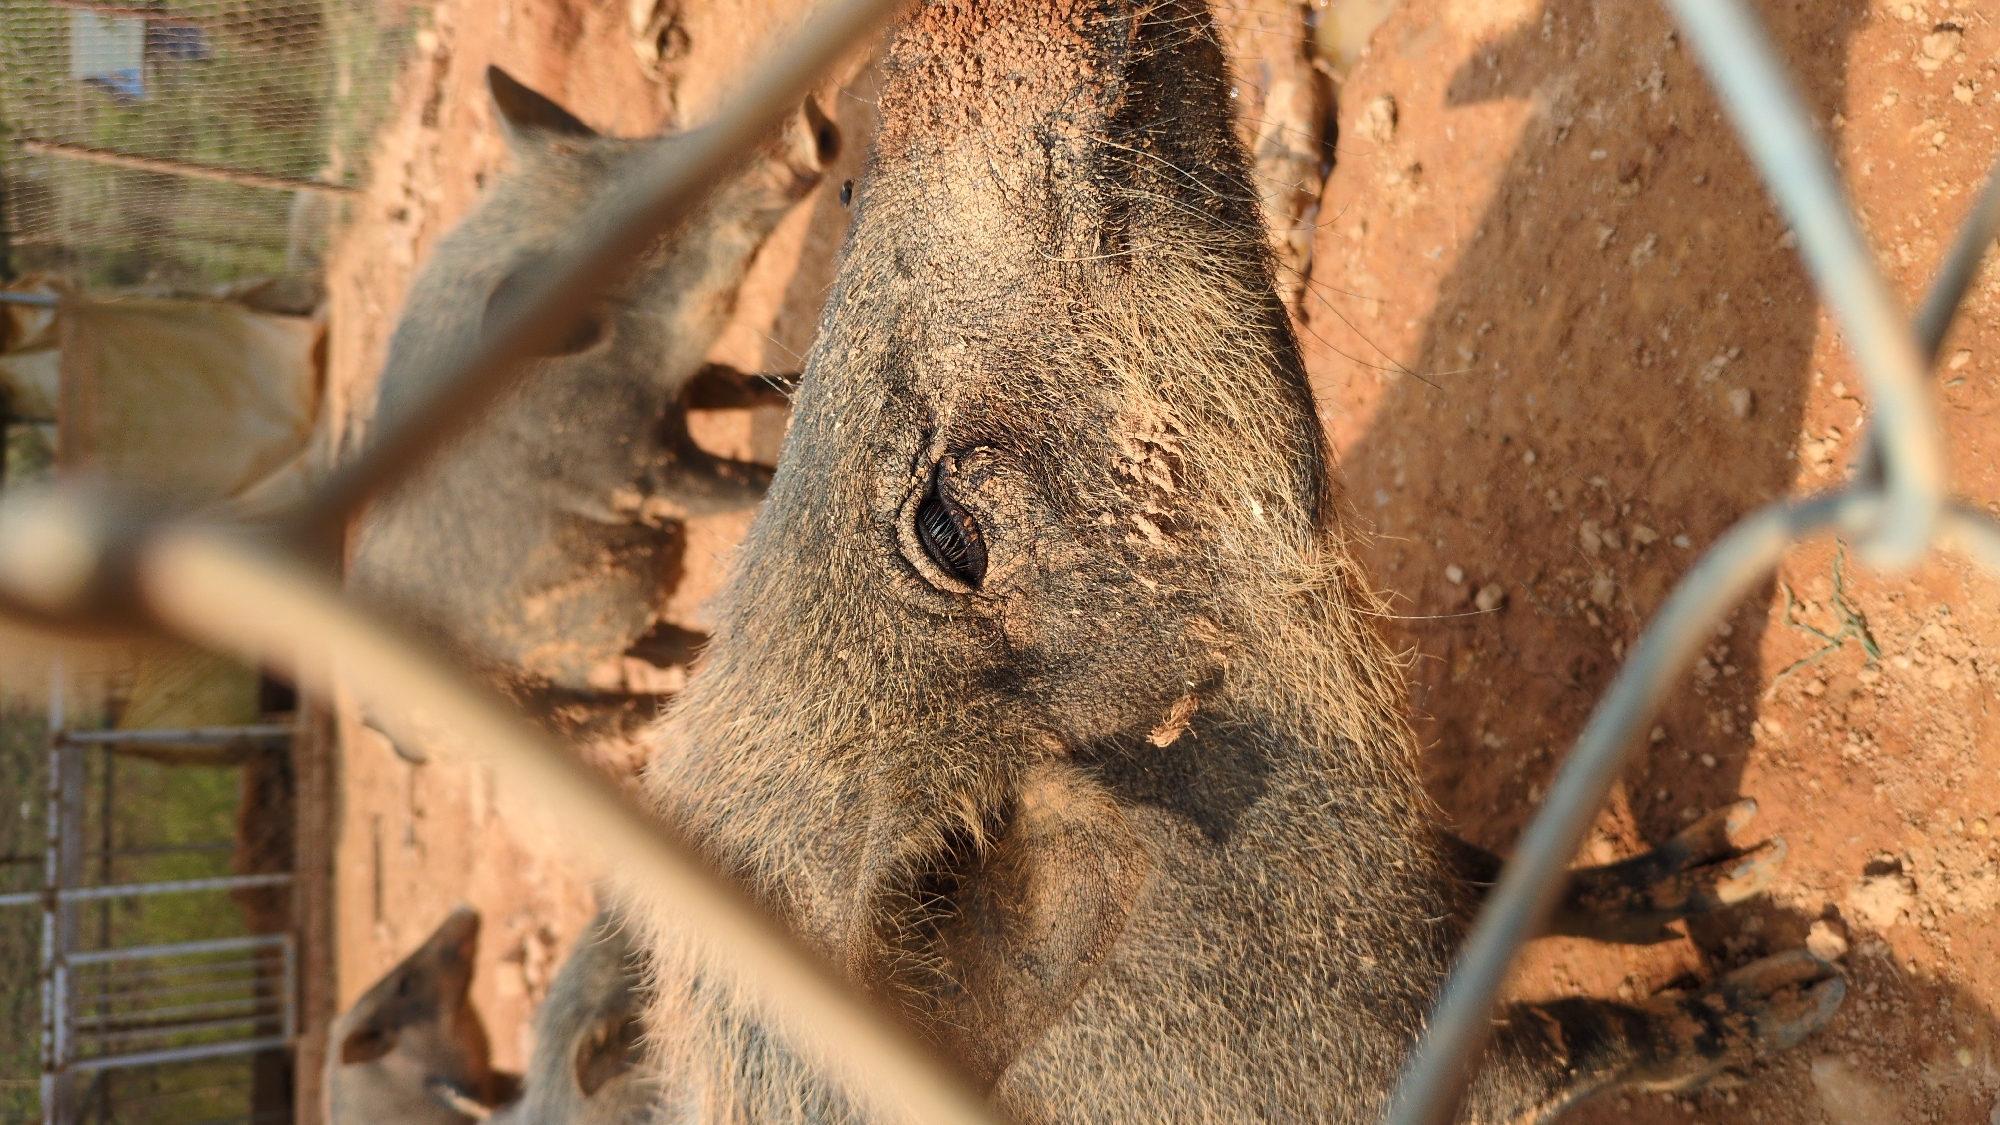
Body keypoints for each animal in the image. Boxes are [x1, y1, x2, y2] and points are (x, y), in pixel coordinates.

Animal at [349, 66, 837, 731]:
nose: (804, 112)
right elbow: (736, 484)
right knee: (599, 712)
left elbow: (743, 383)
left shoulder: (680, 395)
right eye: (653, 238)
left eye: (643, 146)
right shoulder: (633, 474)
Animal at [629, 2, 1842, 1122]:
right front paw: (1797, 988)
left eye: (842, 198)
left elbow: (1501, 876)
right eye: (945, 533)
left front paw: (1729, 854)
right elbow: (1580, 1041)